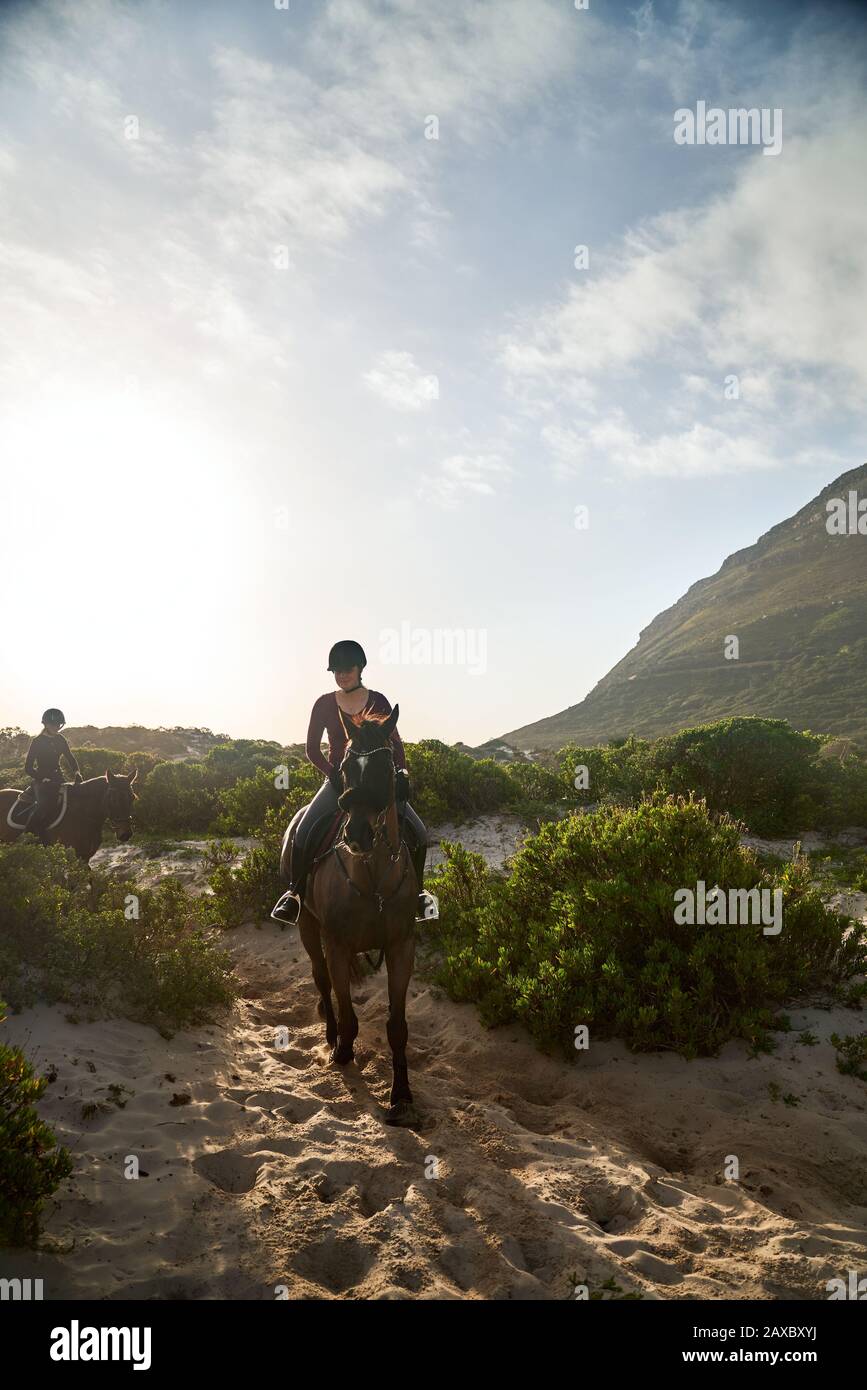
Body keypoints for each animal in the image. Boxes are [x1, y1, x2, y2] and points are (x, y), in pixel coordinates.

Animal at [284, 711, 419, 1123]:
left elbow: (397, 1027)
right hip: (307, 926)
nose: (357, 834)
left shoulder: (402, 946)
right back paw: (331, 1036)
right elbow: (345, 1006)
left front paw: (401, 1095)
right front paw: (343, 1051)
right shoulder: (337, 943)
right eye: (345, 768)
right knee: (322, 979)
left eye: (386, 768)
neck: (371, 876)